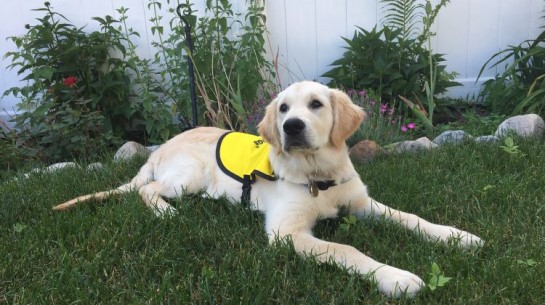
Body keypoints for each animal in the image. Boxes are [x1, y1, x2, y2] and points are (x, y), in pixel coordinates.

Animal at [53, 79, 482, 296]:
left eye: (315, 104)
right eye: (283, 109)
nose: (291, 127)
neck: (316, 175)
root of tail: (162, 147)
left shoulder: (361, 203)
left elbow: (409, 217)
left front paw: (456, 236)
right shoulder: (285, 232)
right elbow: (345, 249)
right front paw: (395, 278)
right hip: (188, 175)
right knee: (148, 190)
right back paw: (166, 213)